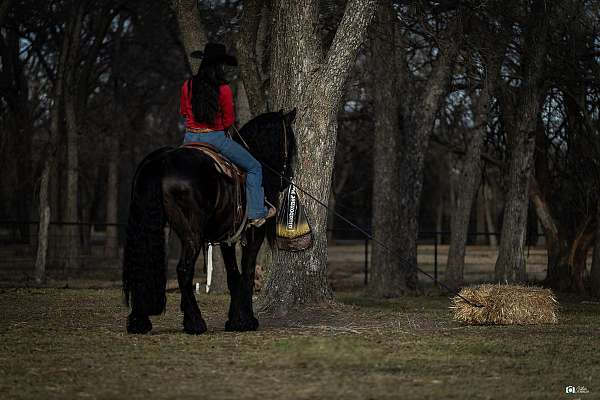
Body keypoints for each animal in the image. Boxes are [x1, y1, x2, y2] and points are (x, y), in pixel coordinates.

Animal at [123, 109, 296, 334]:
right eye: (290, 140)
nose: (288, 177)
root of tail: (163, 160)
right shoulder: (253, 234)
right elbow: (247, 272)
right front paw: (247, 320)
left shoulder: (228, 237)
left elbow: (234, 275)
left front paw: (235, 320)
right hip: (192, 233)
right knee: (184, 270)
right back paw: (194, 322)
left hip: (148, 224)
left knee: (142, 265)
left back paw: (139, 321)